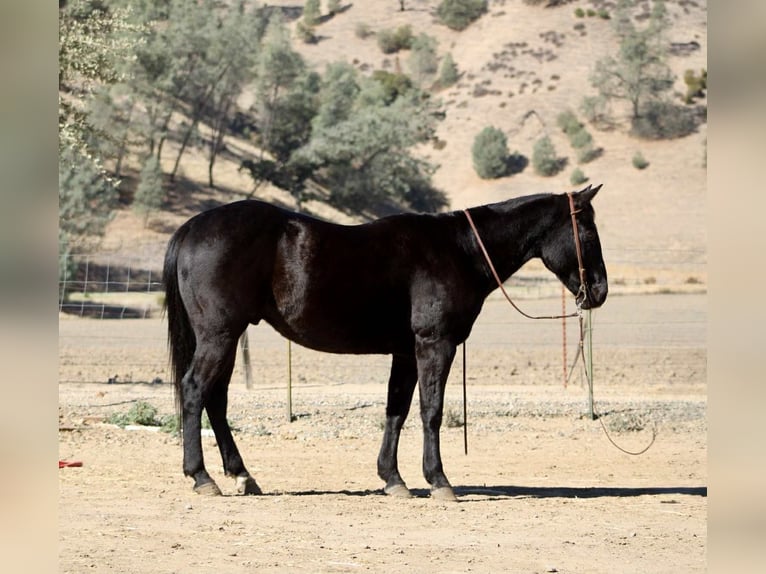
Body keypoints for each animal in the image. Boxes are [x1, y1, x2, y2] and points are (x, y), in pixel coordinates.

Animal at [163, 184, 608, 501]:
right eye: (587, 230)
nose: (600, 291)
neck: (460, 250)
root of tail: (191, 228)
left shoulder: (405, 353)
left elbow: (397, 411)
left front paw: (393, 479)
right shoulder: (434, 345)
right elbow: (431, 411)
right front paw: (439, 481)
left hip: (226, 338)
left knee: (216, 399)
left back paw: (241, 475)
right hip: (219, 336)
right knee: (195, 390)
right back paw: (201, 477)